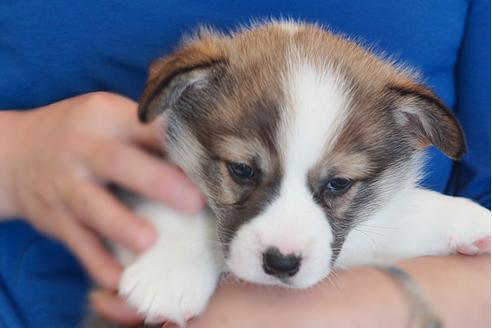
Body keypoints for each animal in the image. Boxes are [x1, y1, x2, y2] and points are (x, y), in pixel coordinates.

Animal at [106, 21, 488, 326]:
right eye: (241, 169)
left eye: (339, 183)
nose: (281, 263)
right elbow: (187, 209)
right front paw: (169, 273)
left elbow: (399, 216)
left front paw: (466, 219)